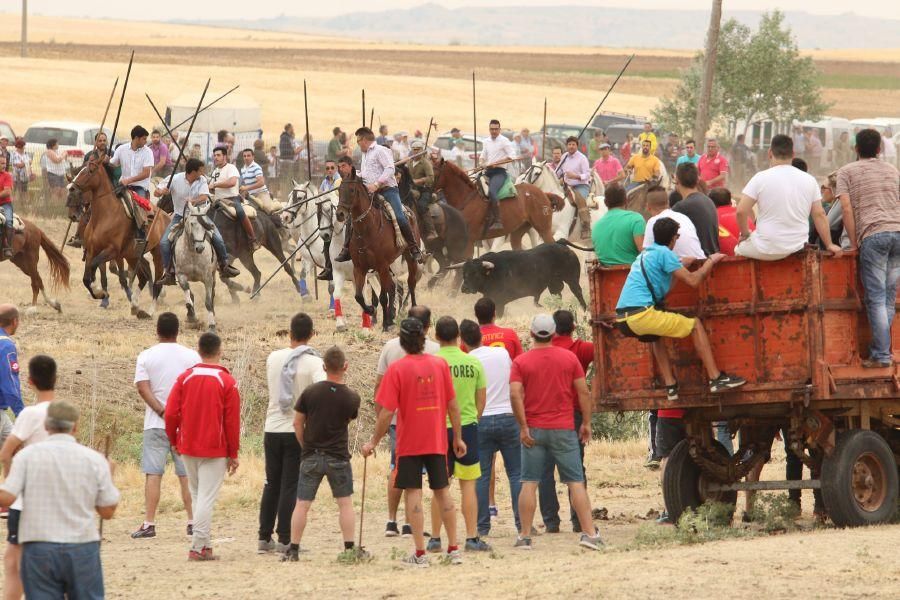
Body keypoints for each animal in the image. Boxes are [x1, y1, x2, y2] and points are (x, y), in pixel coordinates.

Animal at [71, 158, 170, 318]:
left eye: (90, 170)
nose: (71, 188)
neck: (104, 216)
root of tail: (167, 217)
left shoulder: (112, 251)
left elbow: (94, 267)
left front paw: (99, 291)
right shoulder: (92, 250)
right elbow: (87, 277)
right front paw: (100, 294)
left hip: (158, 254)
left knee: (156, 283)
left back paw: (150, 310)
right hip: (133, 255)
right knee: (143, 276)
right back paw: (135, 305)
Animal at [334, 171, 418, 332]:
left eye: (352, 190)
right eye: (339, 189)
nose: (340, 214)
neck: (367, 229)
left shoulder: (381, 266)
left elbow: (383, 296)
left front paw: (385, 324)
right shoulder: (359, 268)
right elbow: (359, 296)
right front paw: (371, 310)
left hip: (409, 259)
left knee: (411, 283)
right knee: (392, 287)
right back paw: (390, 318)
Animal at [454, 239, 588, 316]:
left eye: (476, 273)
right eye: (464, 273)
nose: (464, 288)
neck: (493, 273)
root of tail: (560, 244)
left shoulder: (499, 302)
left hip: (572, 279)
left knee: (578, 293)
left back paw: (585, 311)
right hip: (553, 284)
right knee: (557, 297)